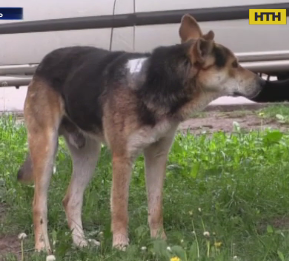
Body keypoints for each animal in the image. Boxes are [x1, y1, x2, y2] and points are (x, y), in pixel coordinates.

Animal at [15, 14, 264, 252]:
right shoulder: (122, 159)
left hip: (88, 154)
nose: (262, 83)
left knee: (71, 200)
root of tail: (43, 62)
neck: (158, 84)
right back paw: (43, 247)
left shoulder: (157, 156)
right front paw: (121, 246)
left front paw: (160, 242)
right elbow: (120, 209)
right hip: (46, 149)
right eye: (234, 64)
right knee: (39, 205)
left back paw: (81, 243)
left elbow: (156, 207)